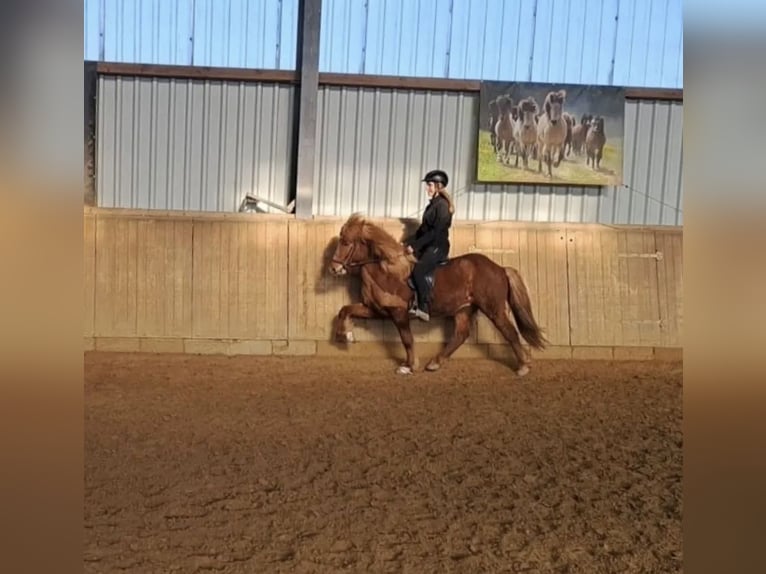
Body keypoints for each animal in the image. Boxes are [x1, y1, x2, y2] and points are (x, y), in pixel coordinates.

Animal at [328, 214, 548, 376]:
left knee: (509, 332)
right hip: (463, 309)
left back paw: (523, 367)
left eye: (346, 242)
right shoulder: (376, 310)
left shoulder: (398, 313)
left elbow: (407, 339)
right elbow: (344, 310)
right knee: (461, 334)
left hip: (493, 309)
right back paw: (435, 363)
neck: (388, 271)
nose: (334, 268)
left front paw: (409, 366)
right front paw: (346, 335)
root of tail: (500, 268)